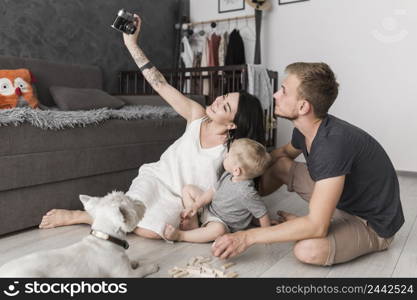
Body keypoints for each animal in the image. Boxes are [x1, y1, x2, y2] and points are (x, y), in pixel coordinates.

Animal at [0, 191, 158, 278]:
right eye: (131, 201)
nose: (141, 201)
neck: (104, 238)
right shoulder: (126, 275)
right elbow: (141, 271)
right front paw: (152, 266)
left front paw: (133, 261)